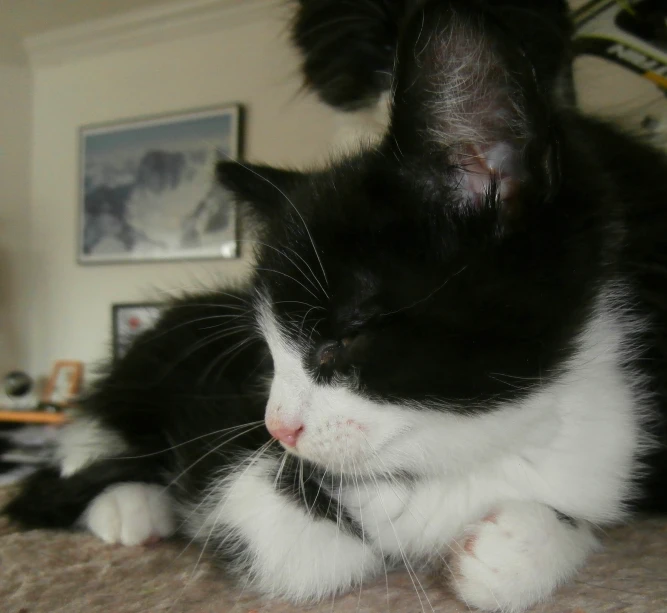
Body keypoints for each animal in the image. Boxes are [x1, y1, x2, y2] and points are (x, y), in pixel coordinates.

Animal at [5, 1, 667, 612]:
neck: (471, 445)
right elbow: (299, 546)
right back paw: (129, 505)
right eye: (266, 355)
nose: (279, 428)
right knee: (87, 441)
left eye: (345, 335)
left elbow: (537, 546)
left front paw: (515, 546)